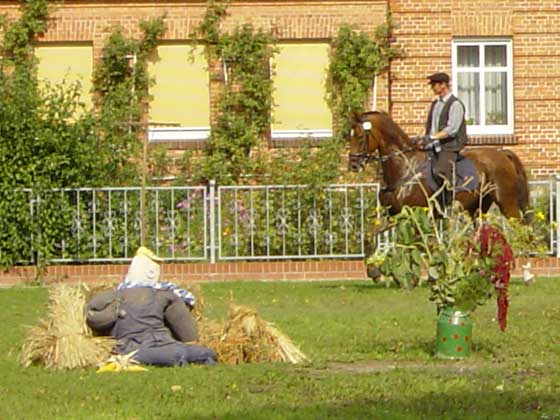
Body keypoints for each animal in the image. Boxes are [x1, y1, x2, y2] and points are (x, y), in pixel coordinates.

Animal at [346, 110, 528, 218]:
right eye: (350, 135)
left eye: (360, 137)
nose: (353, 165)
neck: (404, 168)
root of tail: (501, 153)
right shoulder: (394, 215)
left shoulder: (414, 213)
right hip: (478, 208)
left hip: (507, 203)